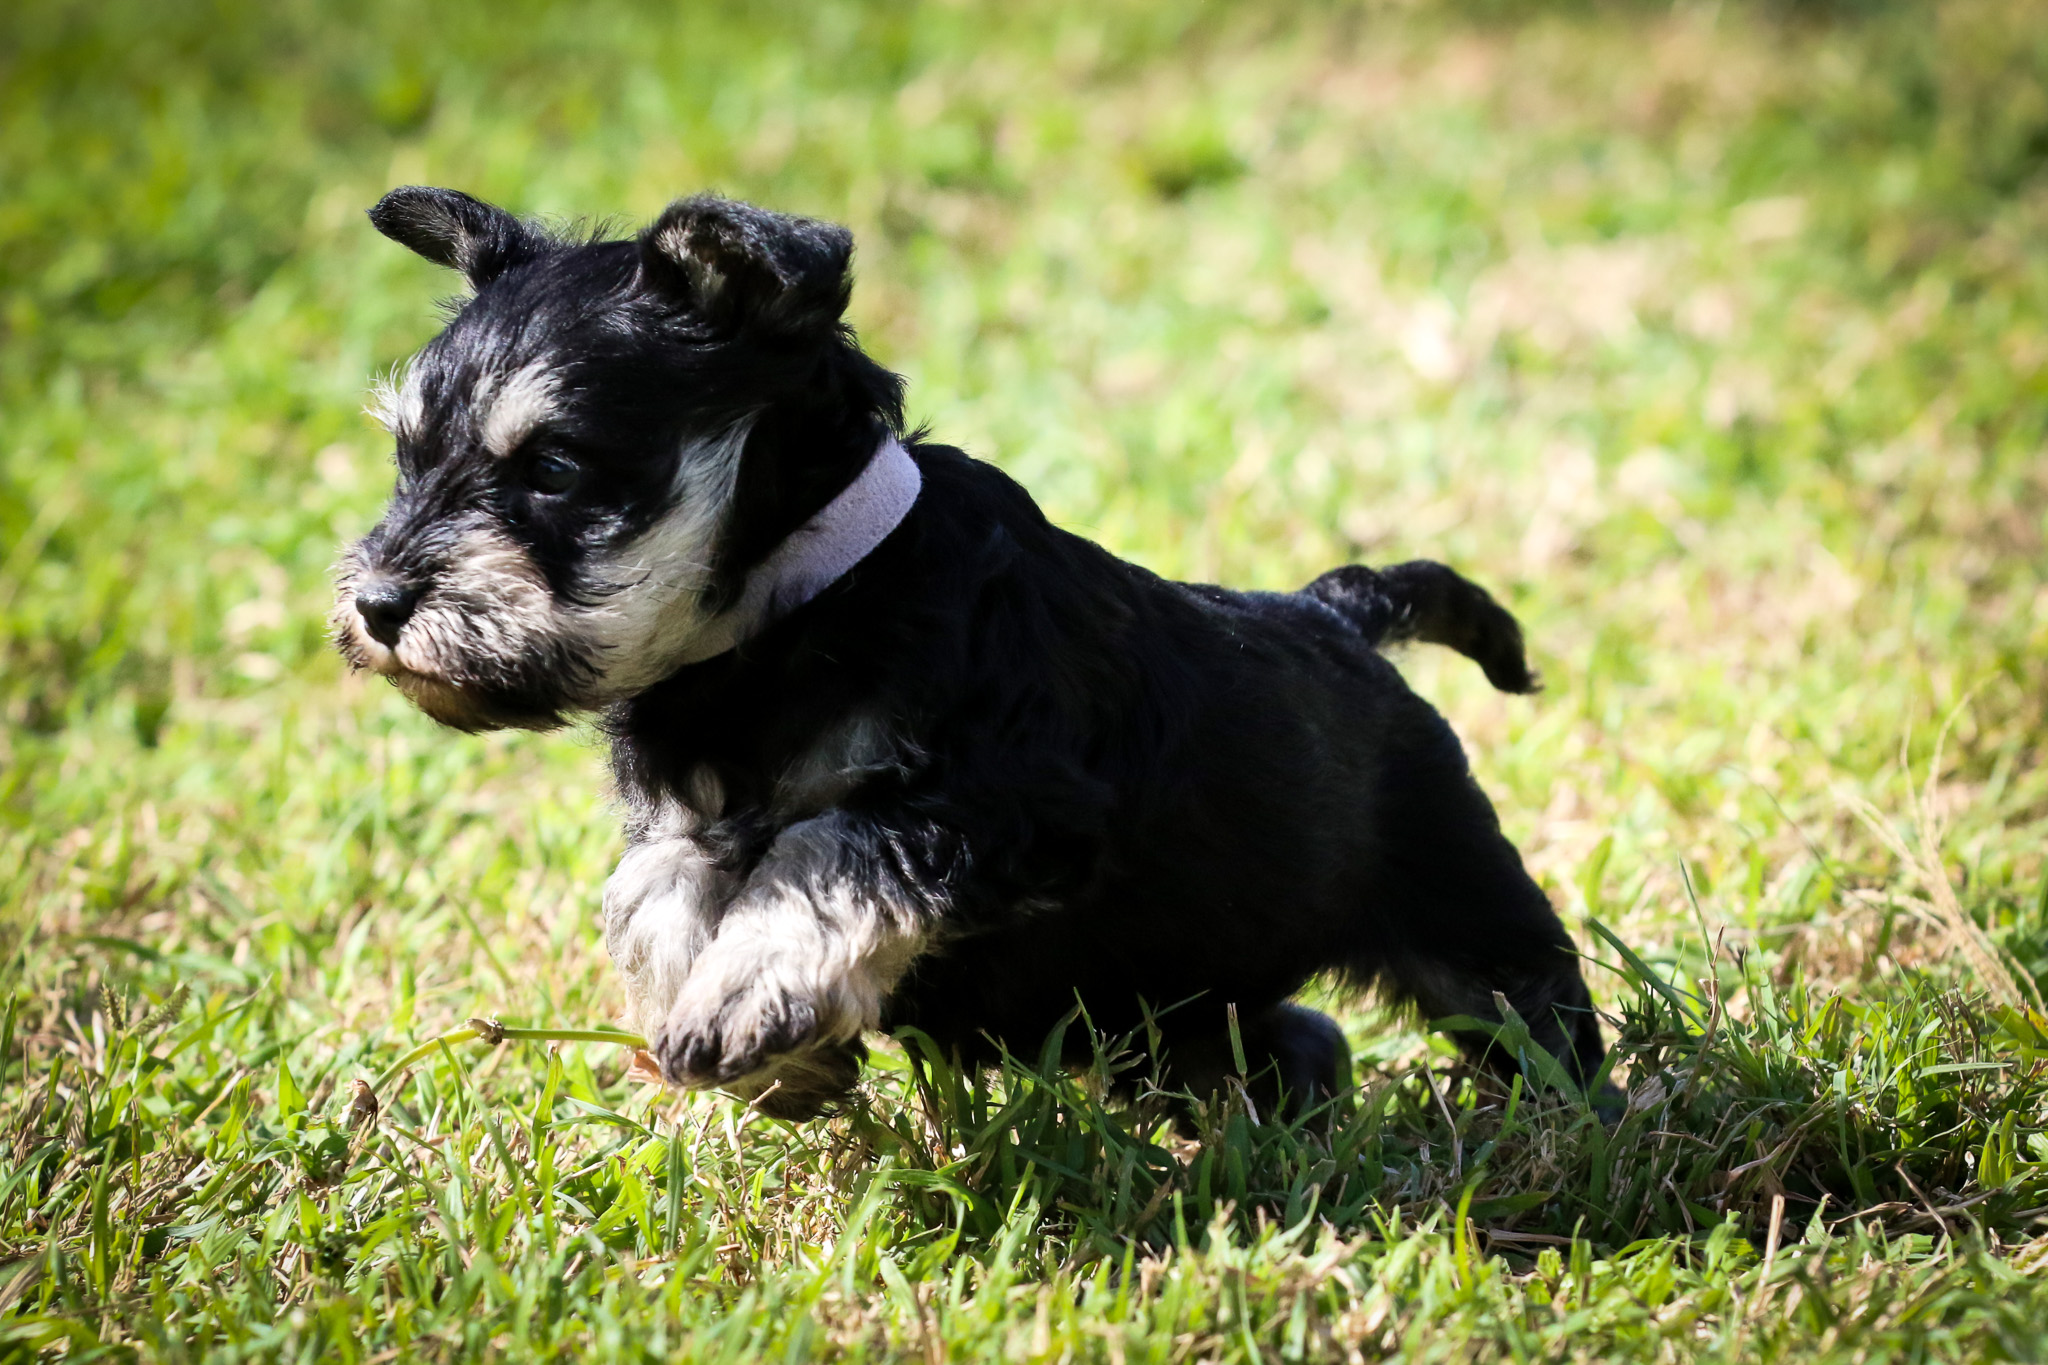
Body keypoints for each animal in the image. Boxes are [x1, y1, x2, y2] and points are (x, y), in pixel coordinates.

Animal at [335, 189, 1605, 1121]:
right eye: (408, 457)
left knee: (1526, 1007)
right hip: (1173, 1003)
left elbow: (830, 845)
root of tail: (1336, 613)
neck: (793, 612)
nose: (376, 602)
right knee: (1283, 1038)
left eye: (553, 467)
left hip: (1459, 909)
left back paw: (1574, 1121)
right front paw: (778, 1052)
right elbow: (659, 896)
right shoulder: (687, 821)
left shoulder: (1009, 800)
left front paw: (747, 998)